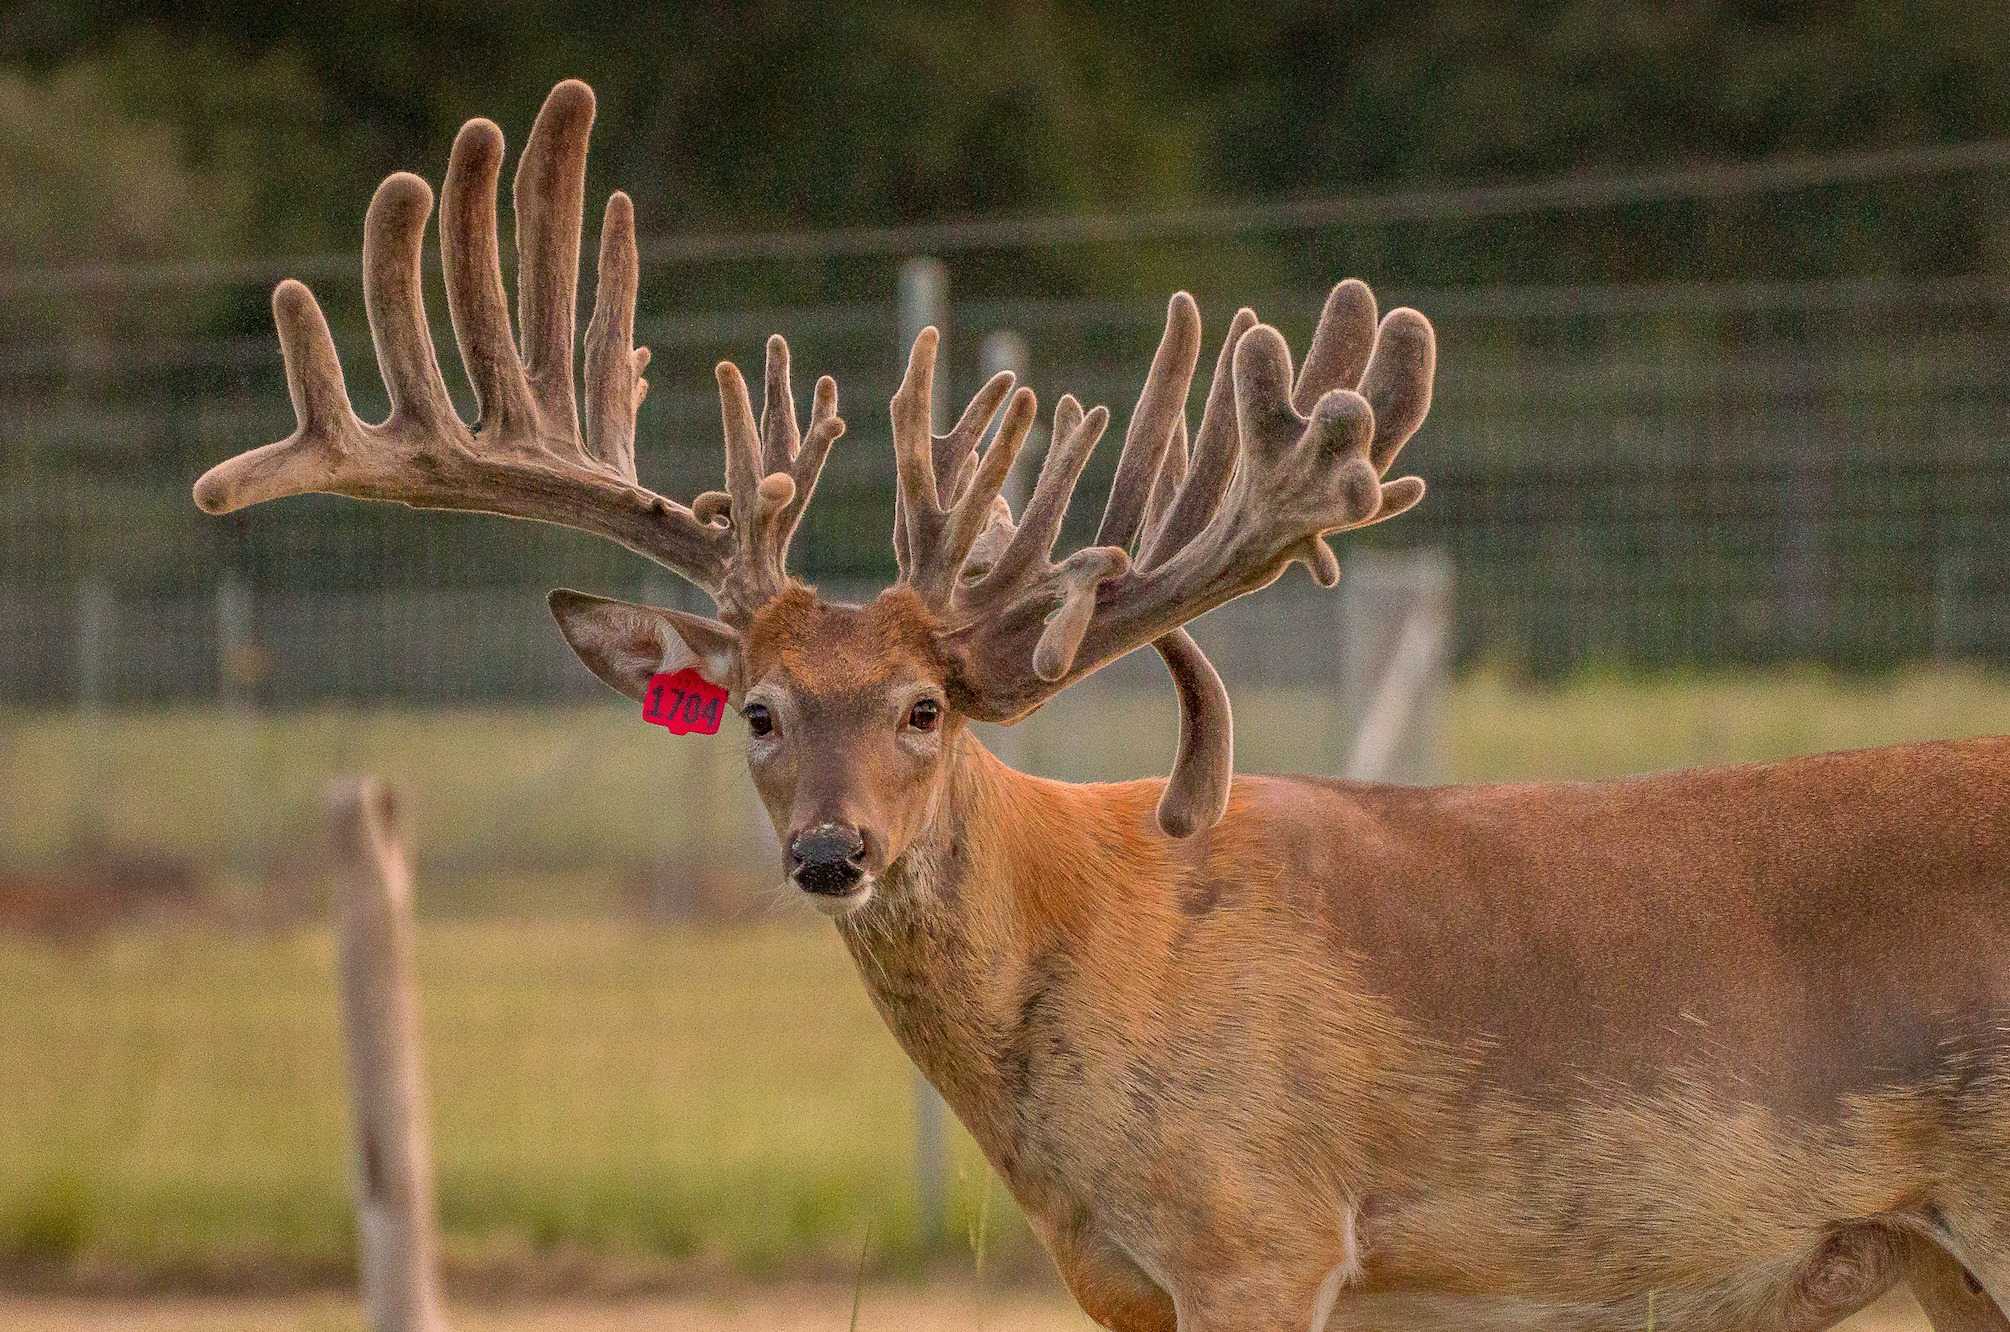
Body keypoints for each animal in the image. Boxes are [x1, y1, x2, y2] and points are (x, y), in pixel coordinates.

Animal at [192, 80, 2010, 1332]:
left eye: (925, 709)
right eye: (760, 710)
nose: (832, 855)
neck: (1091, 944)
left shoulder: (1262, 1229)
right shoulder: (1123, 1278)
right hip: (1937, 1243)